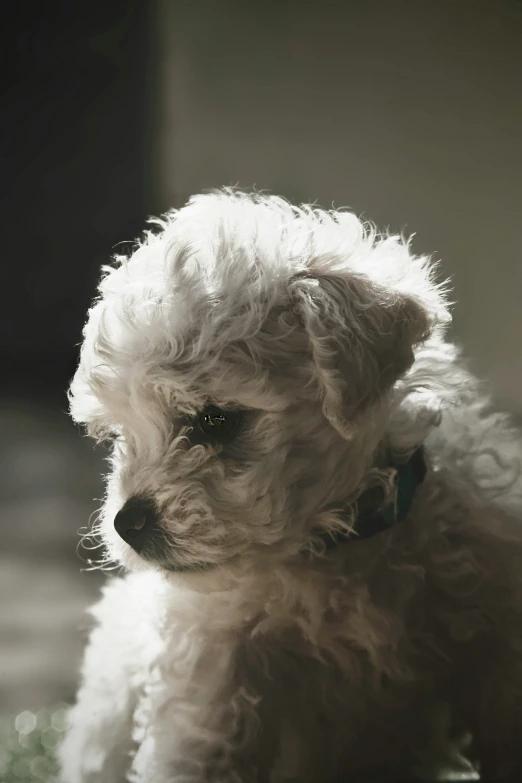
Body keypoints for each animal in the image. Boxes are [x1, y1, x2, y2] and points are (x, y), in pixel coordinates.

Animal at [59, 190, 520, 783]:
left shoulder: (498, 645)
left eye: (215, 420)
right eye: (119, 435)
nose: (127, 523)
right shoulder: (208, 687)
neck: (334, 551)